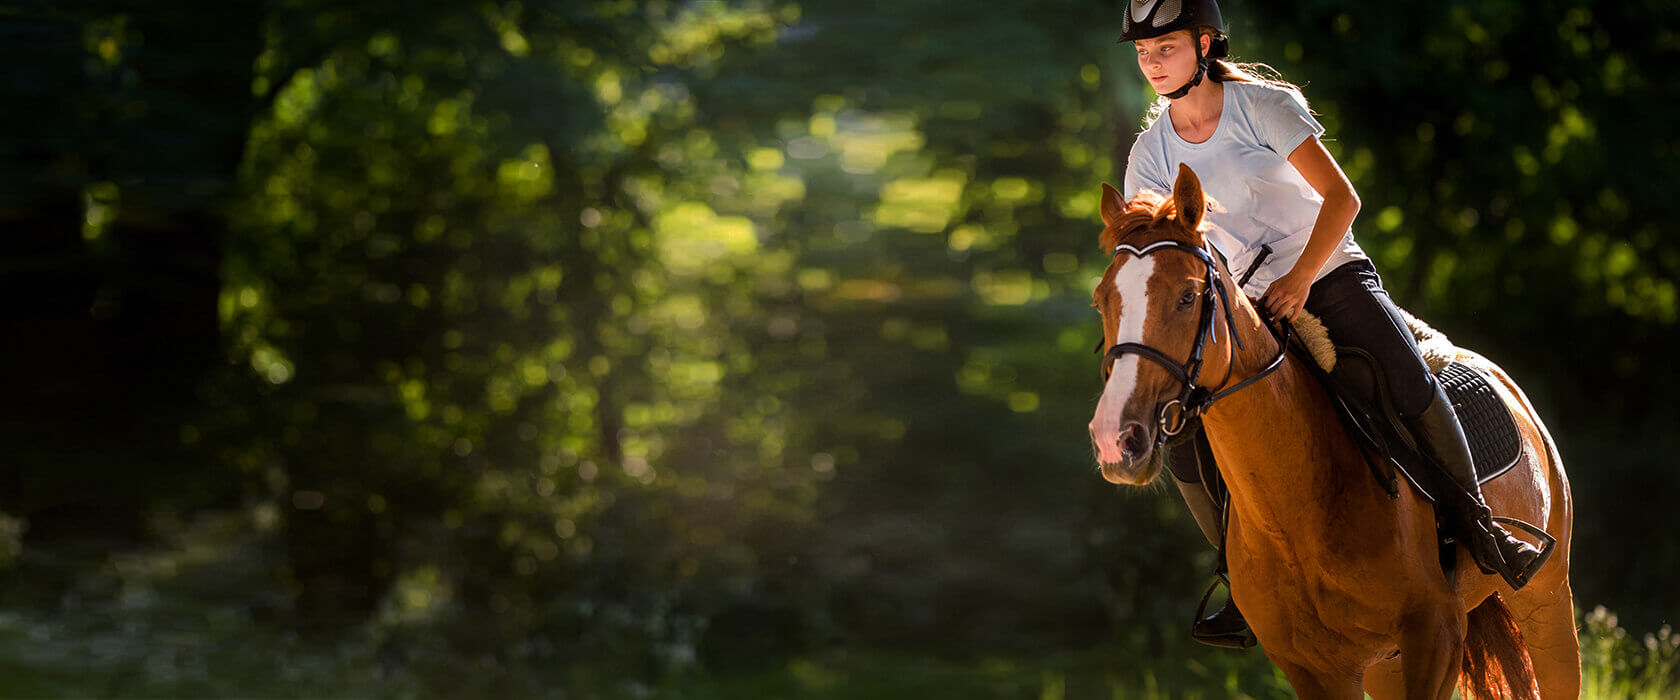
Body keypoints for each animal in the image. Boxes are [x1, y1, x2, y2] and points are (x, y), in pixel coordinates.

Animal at [1081, 161, 1579, 691]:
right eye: (1101, 300)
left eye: (1188, 296)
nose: (1115, 437)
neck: (1295, 510)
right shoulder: (1315, 669)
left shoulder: (1438, 631)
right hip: (1386, 666)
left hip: (1548, 607)